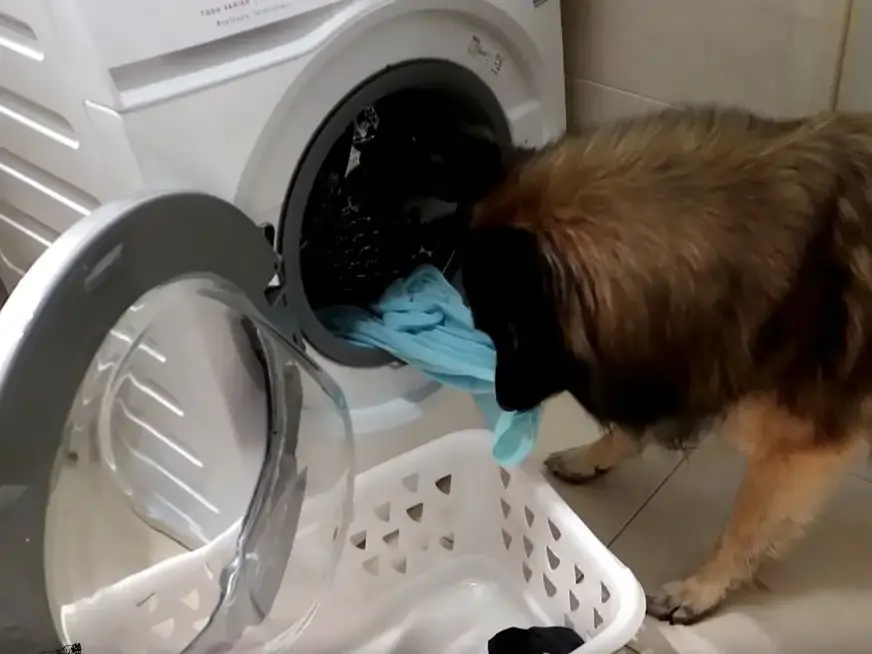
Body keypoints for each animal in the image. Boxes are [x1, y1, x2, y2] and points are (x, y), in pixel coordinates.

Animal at [456, 106, 872, 624]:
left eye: (512, 332)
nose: (502, 401)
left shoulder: (798, 449)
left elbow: (744, 526)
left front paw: (701, 589)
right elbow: (632, 426)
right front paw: (589, 458)